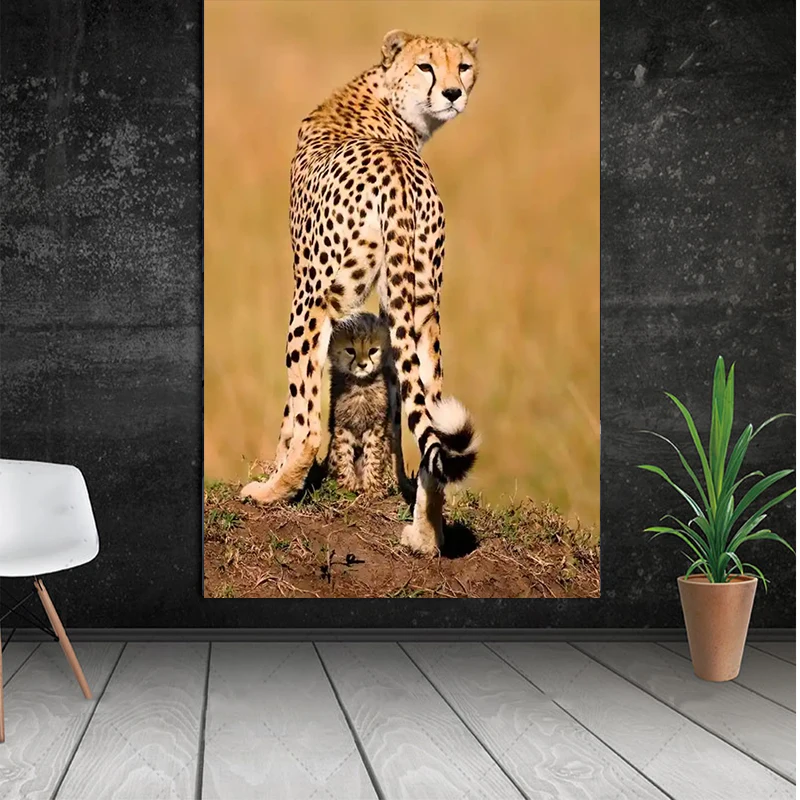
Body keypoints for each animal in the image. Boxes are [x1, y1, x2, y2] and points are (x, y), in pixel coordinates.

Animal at [240, 29, 482, 555]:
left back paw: (271, 492)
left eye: (464, 66)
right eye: (427, 66)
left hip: (313, 298)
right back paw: (425, 534)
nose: (454, 93)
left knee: (309, 422)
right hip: (422, 304)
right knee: (431, 413)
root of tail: (396, 171)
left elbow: (294, 411)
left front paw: (278, 475)